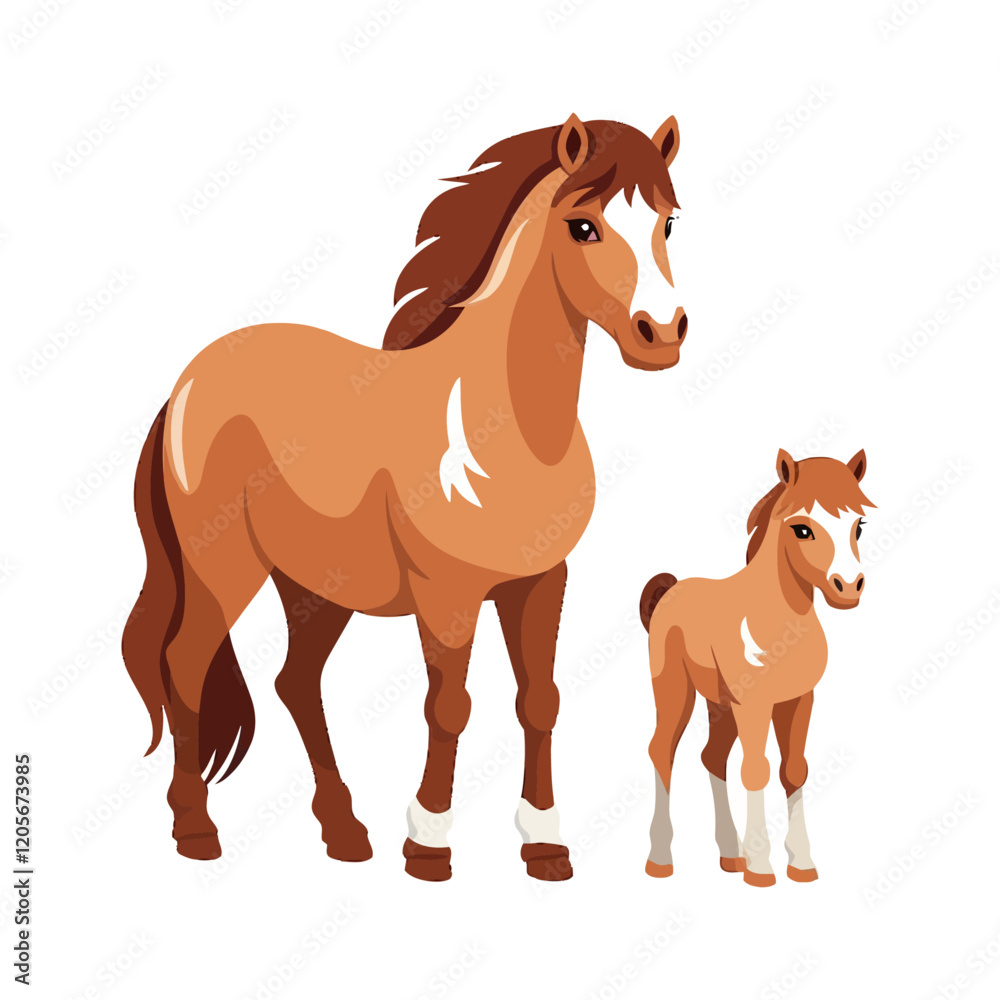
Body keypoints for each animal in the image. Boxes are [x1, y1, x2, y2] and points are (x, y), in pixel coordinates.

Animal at [122, 113, 689, 882]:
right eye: (583, 226)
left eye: (668, 222)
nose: (661, 333)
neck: (494, 425)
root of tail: (186, 385)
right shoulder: (447, 594)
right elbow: (449, 706)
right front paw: (428, 842)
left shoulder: (542, 581)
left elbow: (539, 700)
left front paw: (544, 844)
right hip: (223, 569)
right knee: (186, 665)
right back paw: (196, 830)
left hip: (317, 584)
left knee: (296, 682)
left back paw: (344, 832)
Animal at [639, 449, 874, 886]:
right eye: (801, 529)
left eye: (859, 526)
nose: (848, 587)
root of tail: (670, 590)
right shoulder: (754, 704)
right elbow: (756, 770)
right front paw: (761, 867)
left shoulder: (799, 700)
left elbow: (793, 770)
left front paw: (801, 864)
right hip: (676, 690)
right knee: (663, 751)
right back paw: (661, 860)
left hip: (720, 704)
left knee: (712, 757)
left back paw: (730, 856)